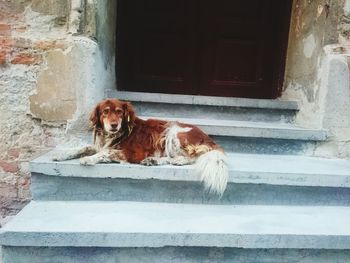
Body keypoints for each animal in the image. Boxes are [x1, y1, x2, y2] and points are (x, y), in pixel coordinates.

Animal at [54, 99, 230, 196]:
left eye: (119, 112)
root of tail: (209, 139)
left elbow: (106, 151)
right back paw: (153, 161)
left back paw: (176, 161)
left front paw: (89, 159)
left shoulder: (133, 153)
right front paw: (60, 154)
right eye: (105, 112)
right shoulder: (99, 145)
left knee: (192, 157)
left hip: (174, 131)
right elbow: (83, 148)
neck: (119, 133)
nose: (113, 125)